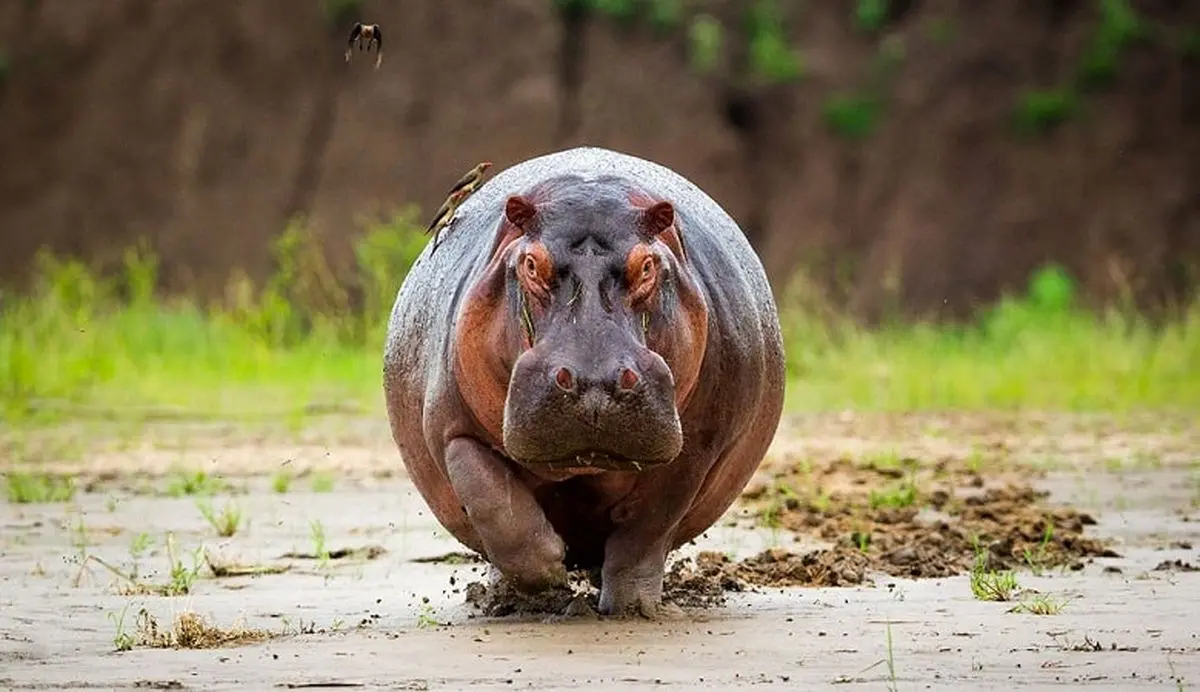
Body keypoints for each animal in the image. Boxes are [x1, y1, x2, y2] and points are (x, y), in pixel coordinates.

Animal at [384, 144, 787, 614]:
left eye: (647, 265)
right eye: (530, 264)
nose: (595, 382)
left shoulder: (698, 447)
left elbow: (649, 529)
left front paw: (633, 607)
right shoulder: (454, 431)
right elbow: (497, 508)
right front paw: (546, 578)